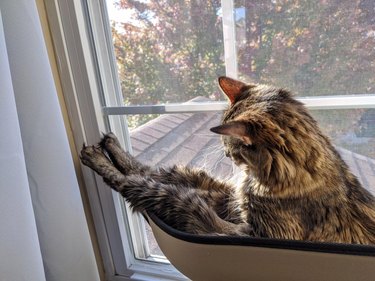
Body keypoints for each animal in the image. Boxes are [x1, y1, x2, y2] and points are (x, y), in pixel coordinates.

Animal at [80, 76, 375, 243]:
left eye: (228, 143)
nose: (224, 154)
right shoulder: (232, 201)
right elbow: (161, 178)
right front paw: (111, 157)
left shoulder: (253, 233)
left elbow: (172, 197)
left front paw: (109, 168)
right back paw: (109, 147)